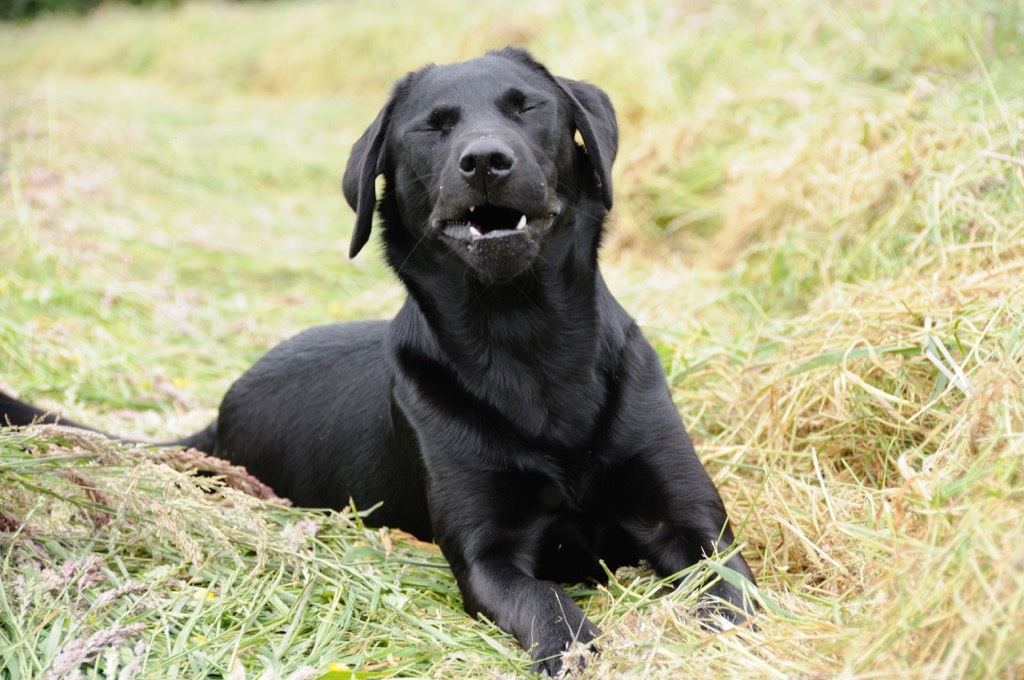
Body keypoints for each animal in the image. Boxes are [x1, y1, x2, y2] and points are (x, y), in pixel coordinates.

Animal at [2, 47, 753, 675]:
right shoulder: (489, 557)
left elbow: (732, 594)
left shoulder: (693, 524)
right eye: (433, 127)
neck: (526, 343)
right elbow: (549, 607)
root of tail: (217, 418)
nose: (485, 160)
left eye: (527, 107)